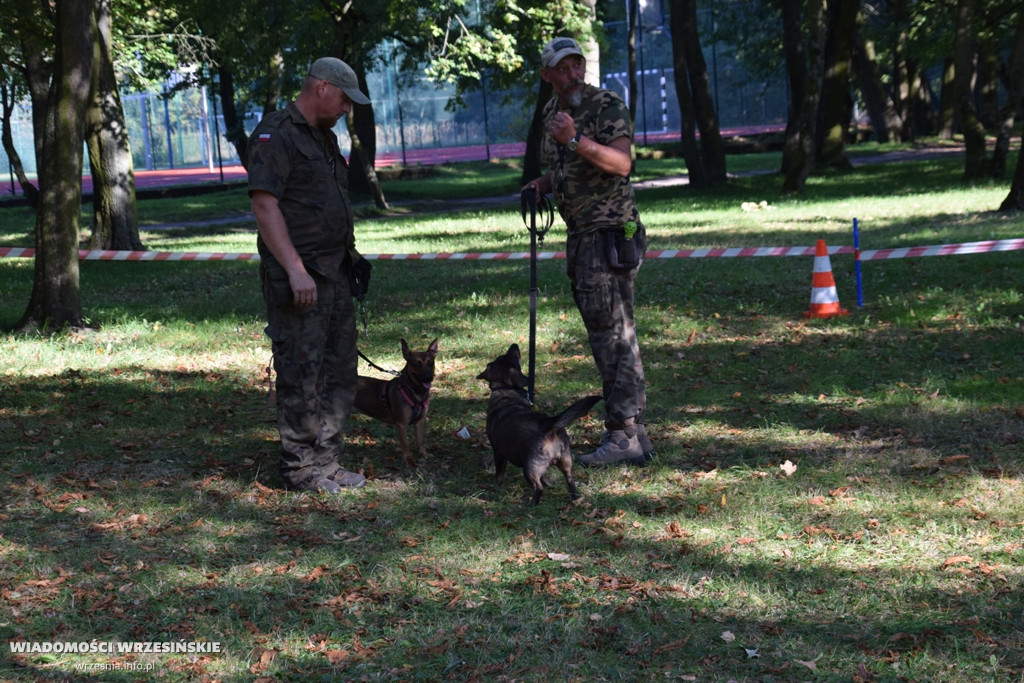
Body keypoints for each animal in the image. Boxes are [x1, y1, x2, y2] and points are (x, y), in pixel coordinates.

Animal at [354, 337, 438, 466]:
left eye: (431, 363)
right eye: (416, 363)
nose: (429, 378)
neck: (415, 392)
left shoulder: (419, 421)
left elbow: (420, 441)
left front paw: (424, 455)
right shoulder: (401, 424)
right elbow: (405, 444)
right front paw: (408, 460)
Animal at [477, 344, 602, 505]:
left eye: (508, 356)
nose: (514, 345)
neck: (507, 391)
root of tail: (549, 425)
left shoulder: (498, 452)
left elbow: (500, 472)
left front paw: (496, 485)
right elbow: (545, 478)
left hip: (530, 468)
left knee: (538, 487)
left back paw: (531, 504)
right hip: (566, 463)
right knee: (570, 481)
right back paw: (574, 498)